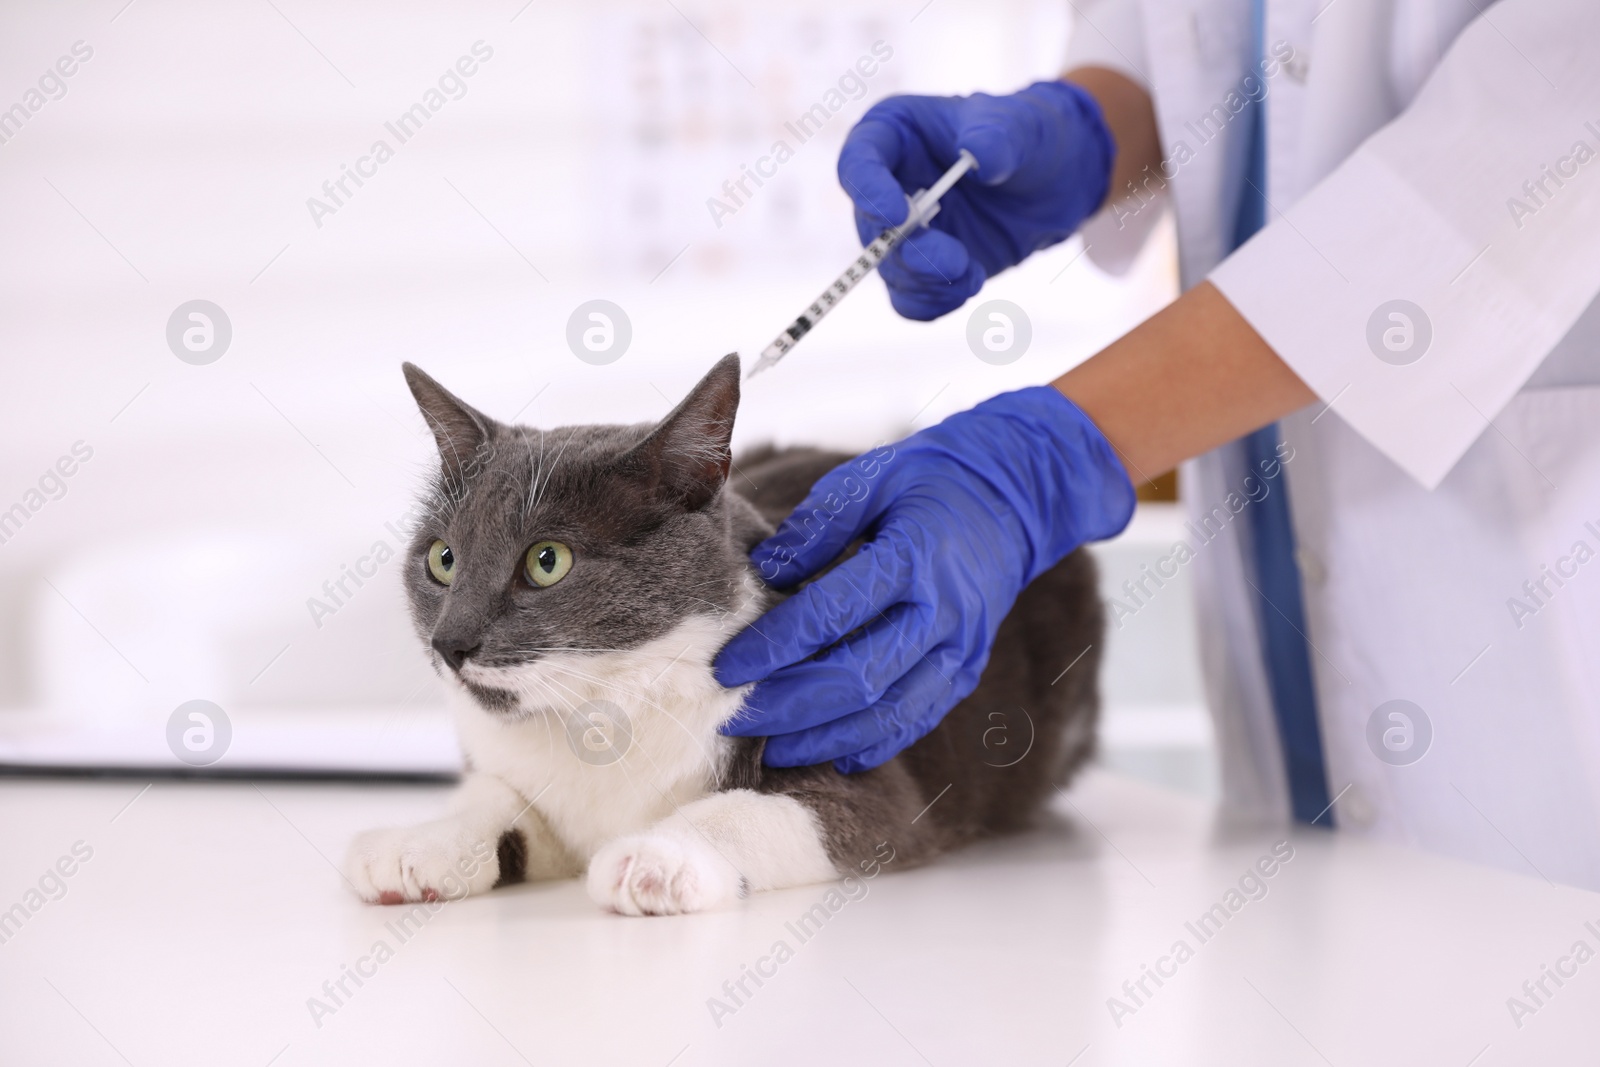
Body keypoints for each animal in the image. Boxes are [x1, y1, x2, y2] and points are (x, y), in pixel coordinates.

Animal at [344, 355, 1107, 915]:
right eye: (442, 559)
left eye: (546, 560)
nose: (450, 643)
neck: (600, 713)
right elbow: (498, 796)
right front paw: (417, 843)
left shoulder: (860, 761)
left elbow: (770, 812)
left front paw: (652, 858)